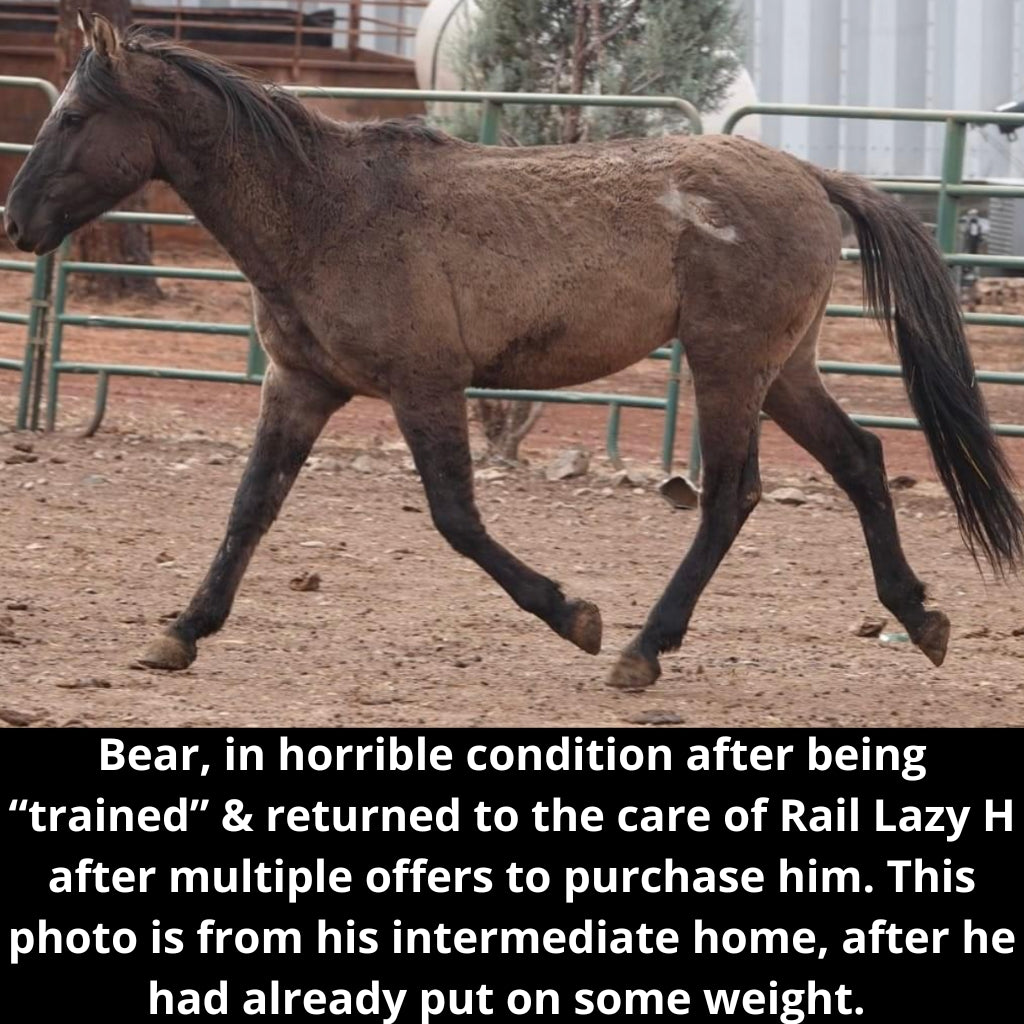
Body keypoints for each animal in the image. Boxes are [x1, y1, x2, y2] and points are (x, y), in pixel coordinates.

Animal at [4, 12, 1019, 688]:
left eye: (73, 119)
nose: (15, 222)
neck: (326, 209)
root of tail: (811, 173)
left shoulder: (424, 385)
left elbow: (457, 519)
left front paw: (576, 616)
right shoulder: (298, 386)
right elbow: (249, 509)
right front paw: (180, 630)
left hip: (730, 368)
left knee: (732, 496)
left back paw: (642, 650)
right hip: (783, 371)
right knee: (861, 459)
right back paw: (919, 617)